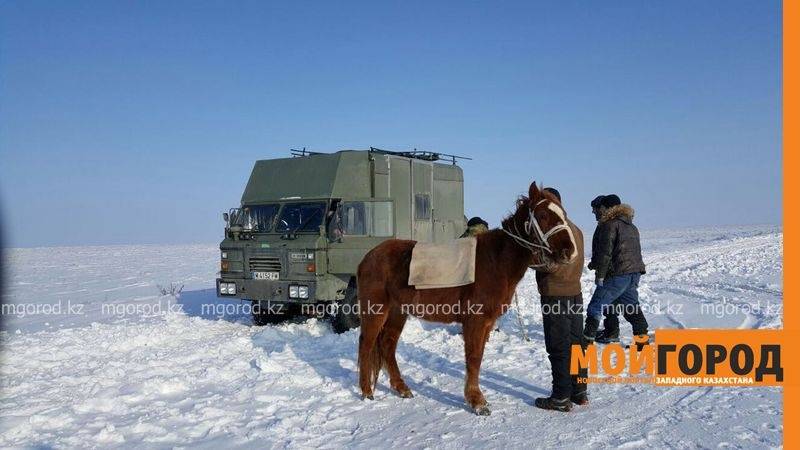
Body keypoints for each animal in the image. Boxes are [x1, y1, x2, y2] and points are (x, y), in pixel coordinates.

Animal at [356, 182, 576, 414]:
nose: (569, 251)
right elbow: (473, 358)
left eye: (563, 214)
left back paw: (401, 388)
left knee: (387, 345)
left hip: (398, 312)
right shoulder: (475, 322)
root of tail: (368, 257)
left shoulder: (486, 324)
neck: (495, 261)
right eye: (542, 215)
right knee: (366, 344)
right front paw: (477, 401)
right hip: (376, 311)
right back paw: (366, 391)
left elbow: (477, 358)